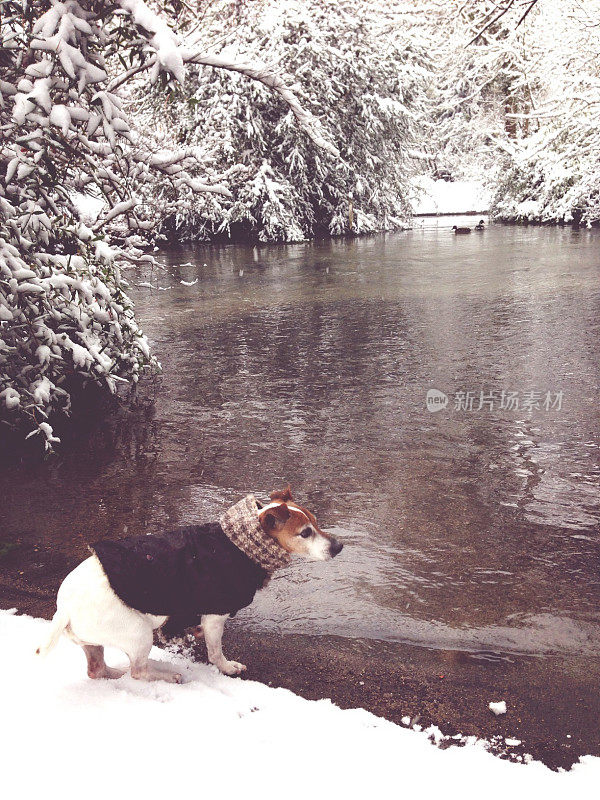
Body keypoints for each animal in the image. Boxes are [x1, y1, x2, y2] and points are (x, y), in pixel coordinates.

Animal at [37, 488, 344, 680]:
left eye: (316, 523)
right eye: (305, 533)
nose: (339, 547)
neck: (242, 544)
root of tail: (64, 610)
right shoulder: (216, 615)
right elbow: (216, 651)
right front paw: (228, 667)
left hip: (94, 642)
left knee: (97, 669)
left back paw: (115, 673)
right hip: (138, 633)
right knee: (138, 672)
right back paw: (167, 676)